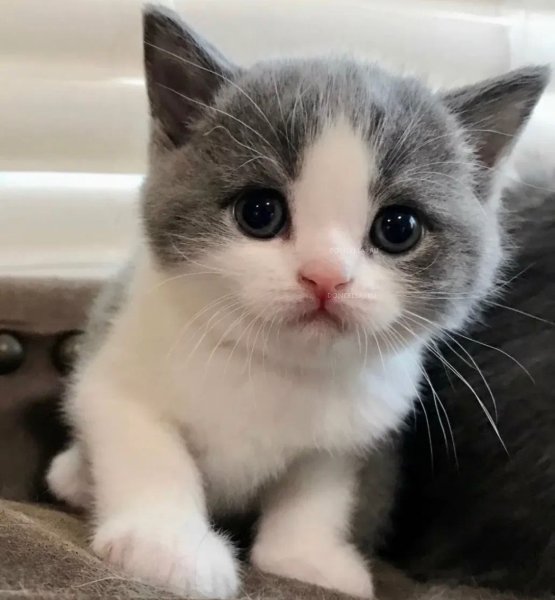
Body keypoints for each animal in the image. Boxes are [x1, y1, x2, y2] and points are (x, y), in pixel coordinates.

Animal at [46, 6, 548, 599]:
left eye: (398, 228)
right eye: (259, 212)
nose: (325, 277)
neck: (274, 369)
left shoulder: (354, 432)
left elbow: (317, 493)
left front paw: (306, 559)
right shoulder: (118, 371)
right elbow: (149, 450)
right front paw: (168, 548)